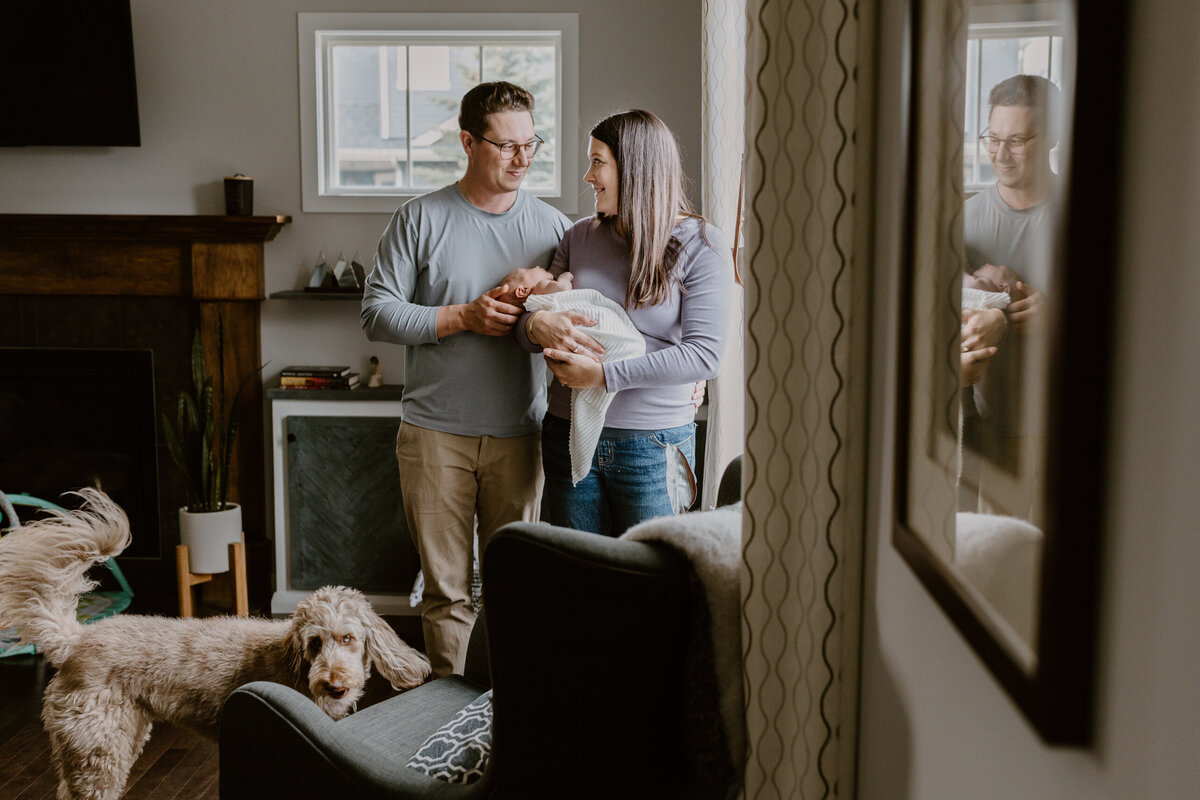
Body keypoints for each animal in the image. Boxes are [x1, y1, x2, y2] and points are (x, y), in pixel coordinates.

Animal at [0, 489, 432, 800]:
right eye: (314, 643)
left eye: (348, 638)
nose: (334, 685)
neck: (291, 663)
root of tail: (77, 639)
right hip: (97, 752)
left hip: (115, 739)